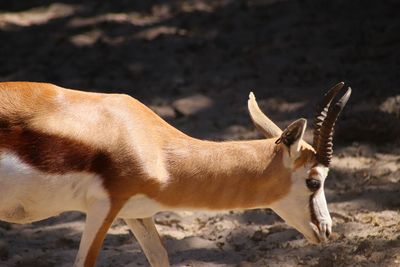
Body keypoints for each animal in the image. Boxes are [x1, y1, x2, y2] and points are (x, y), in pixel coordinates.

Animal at [0, 81, 350, 266]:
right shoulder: (103, 207)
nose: (326, 230)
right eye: (314, 181)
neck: (154, 145)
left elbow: (160, 257)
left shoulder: (136, 214)